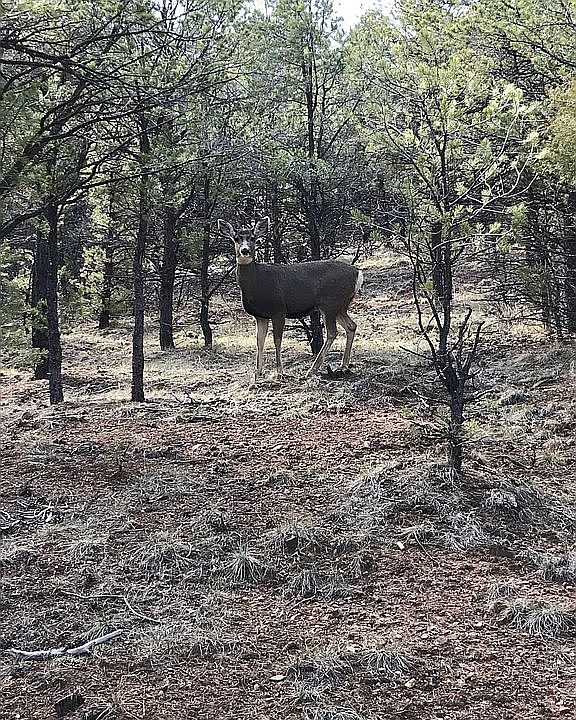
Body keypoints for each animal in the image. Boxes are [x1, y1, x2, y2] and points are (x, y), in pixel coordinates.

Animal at [218, 217, 363, 379]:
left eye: (253, 238)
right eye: (236, 238)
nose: (245, 250)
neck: (257, 281)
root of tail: (358, 273)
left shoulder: (279, 310)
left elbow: (277, 340)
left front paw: (279, 371)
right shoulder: (260, 315)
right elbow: (259, 341)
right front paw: (258, 372)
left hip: (330, 303)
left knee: (332, 332)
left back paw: (312, 369)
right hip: (340, 306)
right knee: (351, 326)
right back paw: (343, 366)